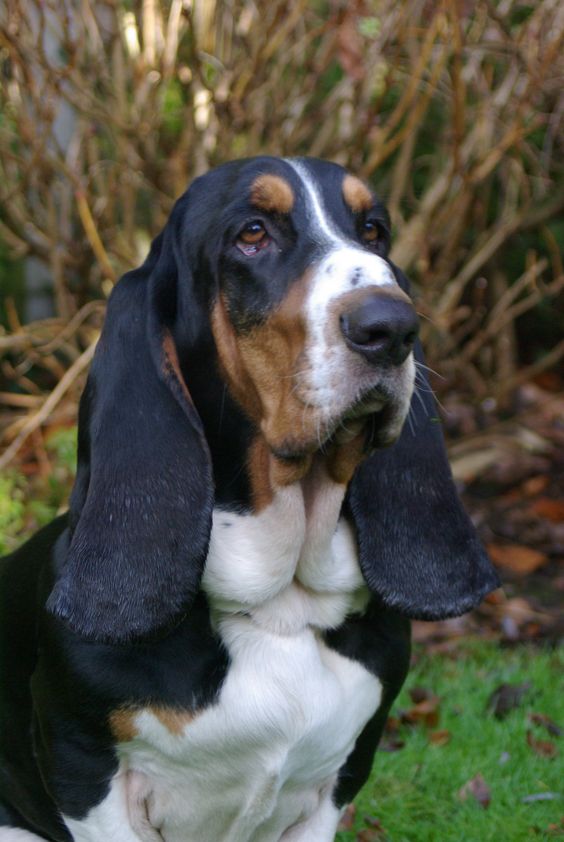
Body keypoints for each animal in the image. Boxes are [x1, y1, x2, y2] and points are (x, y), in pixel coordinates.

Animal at [0, 158, 496, 840]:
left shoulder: (339, 779)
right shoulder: (86, 776)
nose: (392, 327)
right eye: (253, 234)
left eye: (374, 230)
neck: (277, 608)